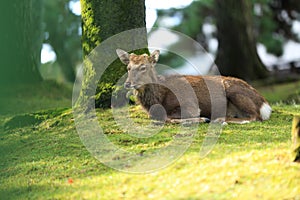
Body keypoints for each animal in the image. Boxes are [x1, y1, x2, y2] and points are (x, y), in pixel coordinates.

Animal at [116, 48, 272, 123]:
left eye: (143, 67)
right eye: (128, 67)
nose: (127, 84)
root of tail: (265, 104)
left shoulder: (190, 105)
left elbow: (169, 118)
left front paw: (202, 118)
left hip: (234, 92)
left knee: (254, 117)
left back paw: (218, 119)